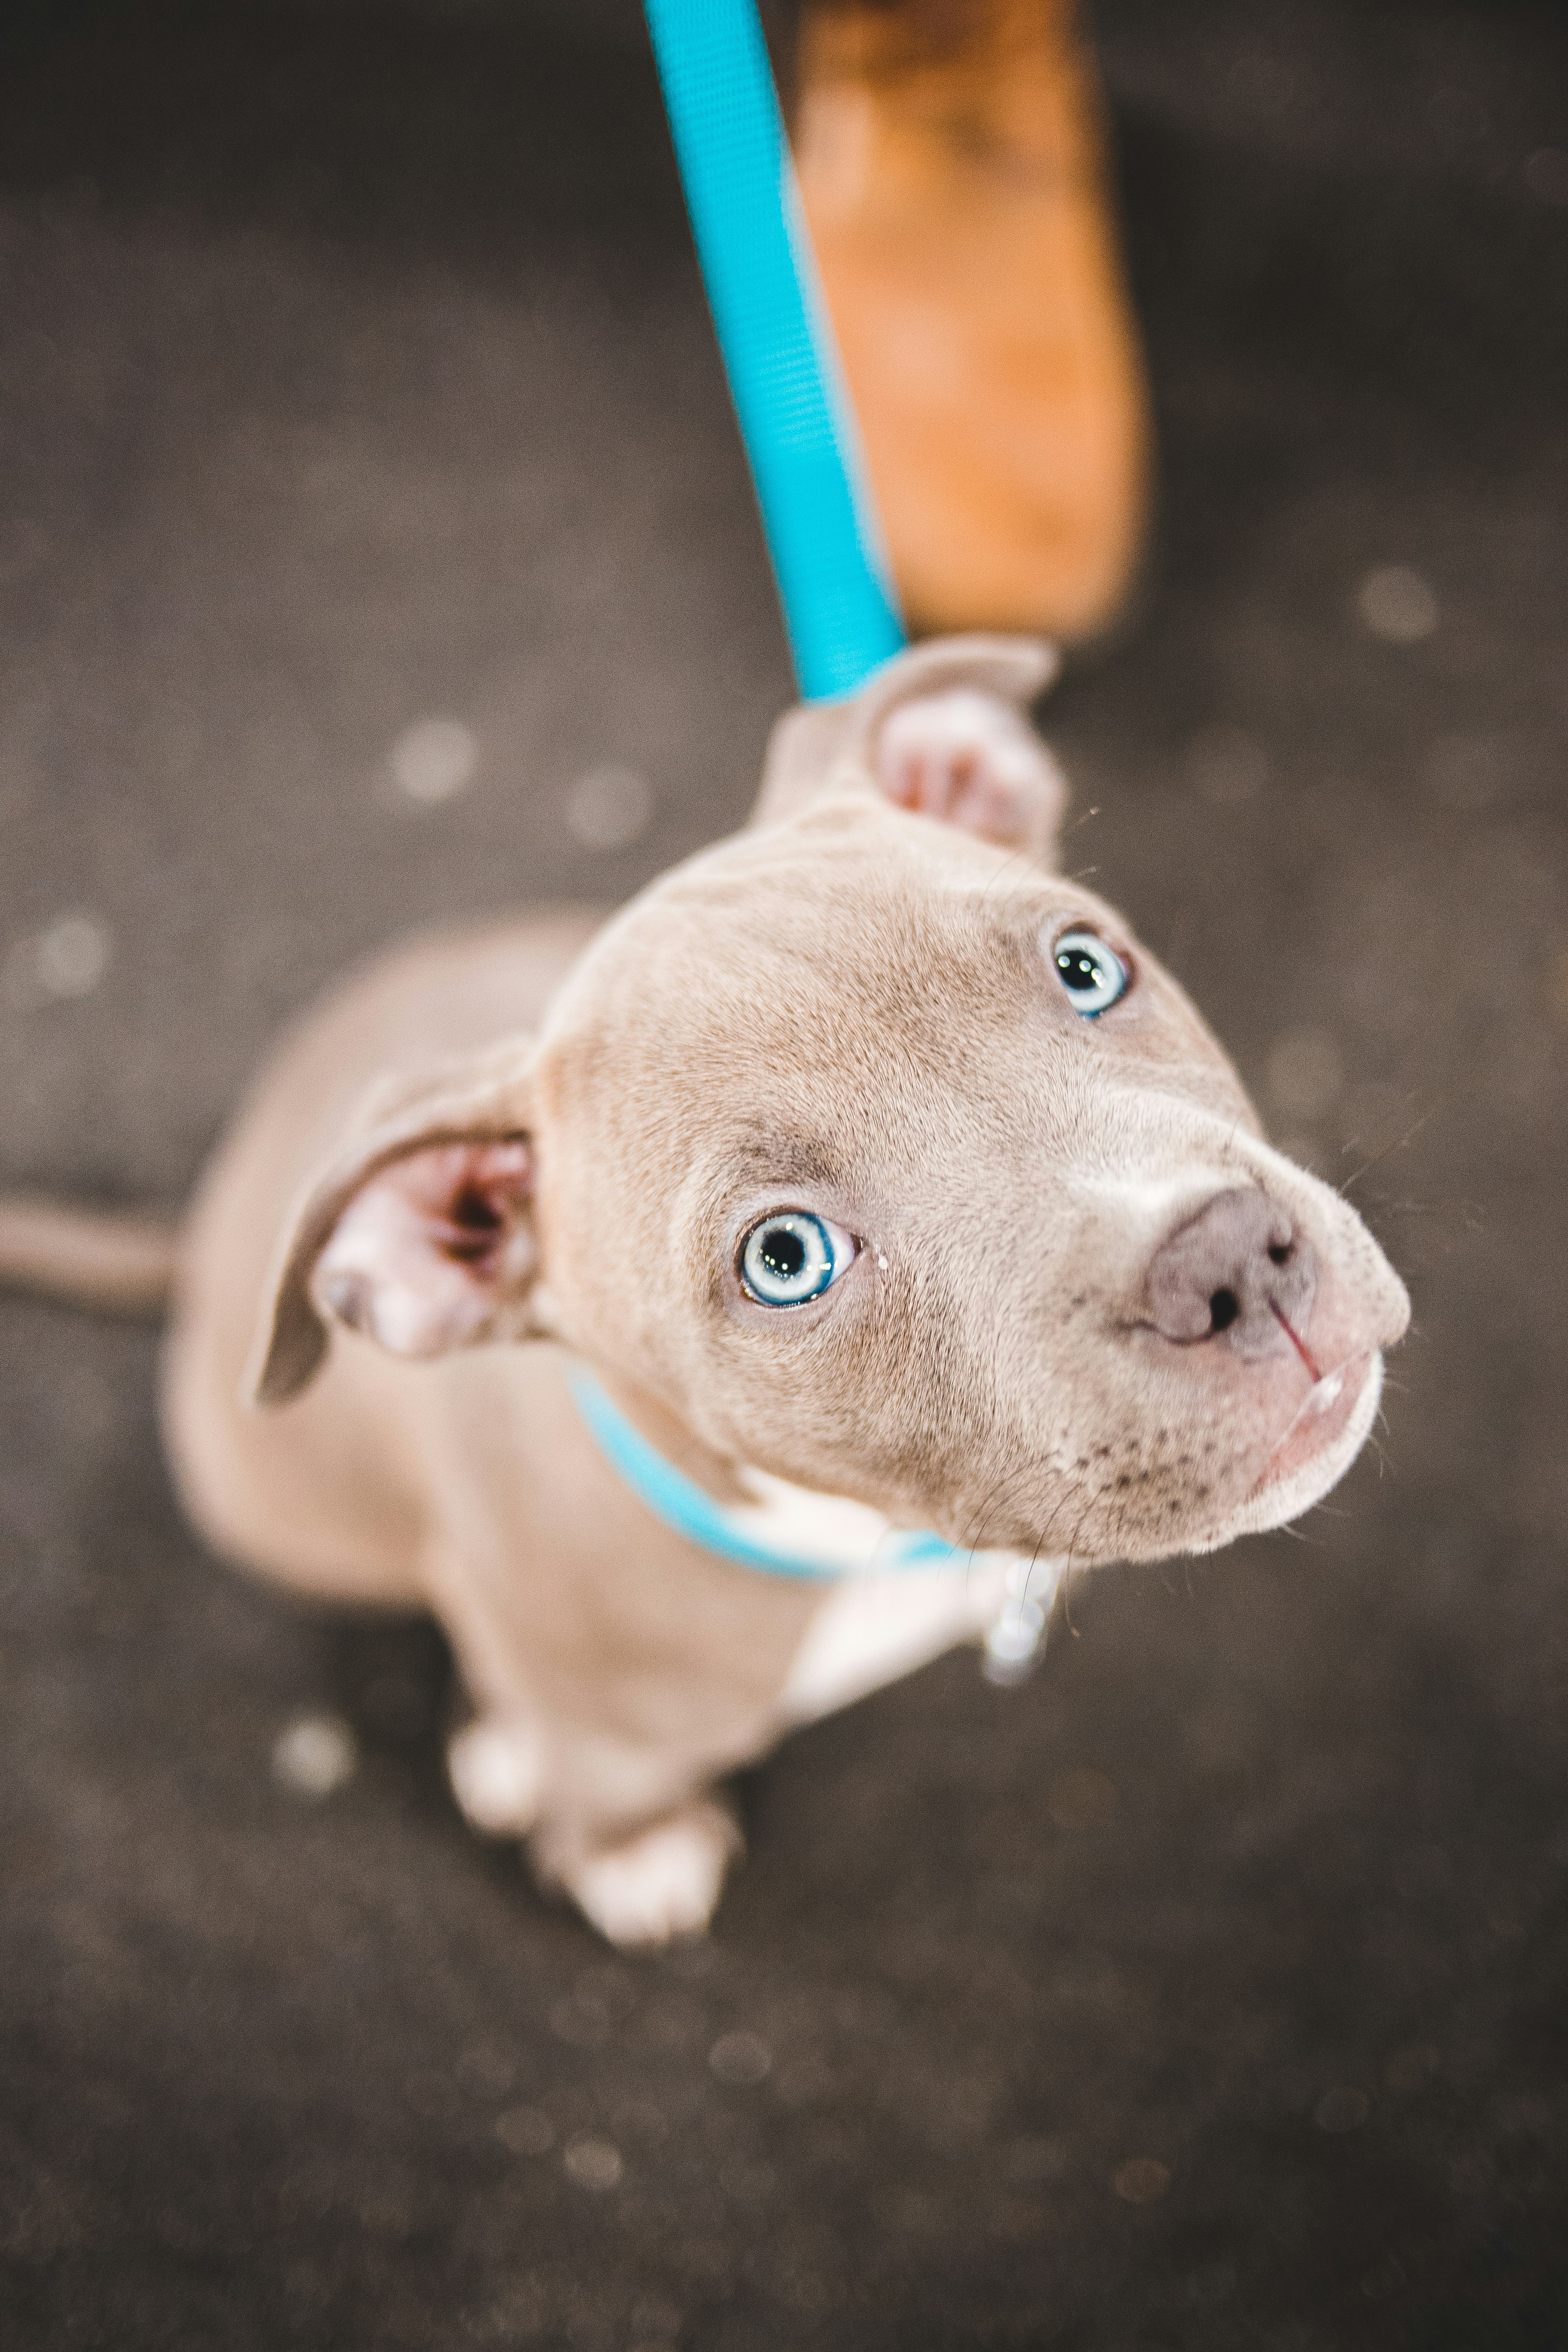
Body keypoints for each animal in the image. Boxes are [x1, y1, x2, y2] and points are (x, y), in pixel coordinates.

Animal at [6, 635, 1420, 1938]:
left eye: (1087, 968)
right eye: (785, 1259)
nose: (1228, 1260)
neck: (855, 1536)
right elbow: (602, 1772)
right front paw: (620, 1844)